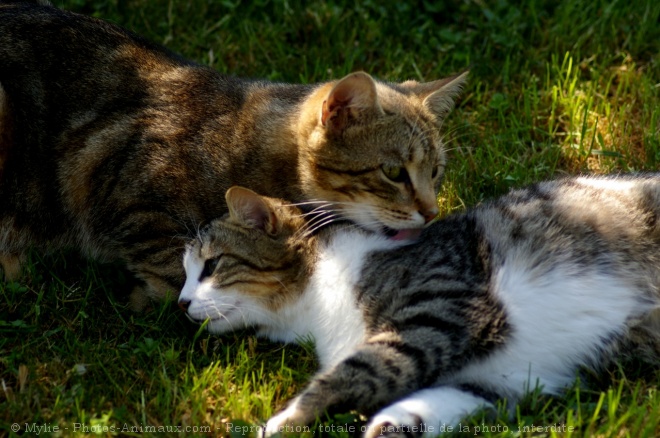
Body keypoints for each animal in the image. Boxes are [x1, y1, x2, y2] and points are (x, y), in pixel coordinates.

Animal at [178, 175, 660, 434]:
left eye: (211, 265)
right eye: (184, 273)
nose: (181, 303)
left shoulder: (443, 310)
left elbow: (358, 370)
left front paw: (282, 422)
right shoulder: (507, 379)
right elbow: (436, 396)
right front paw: (394, 426)